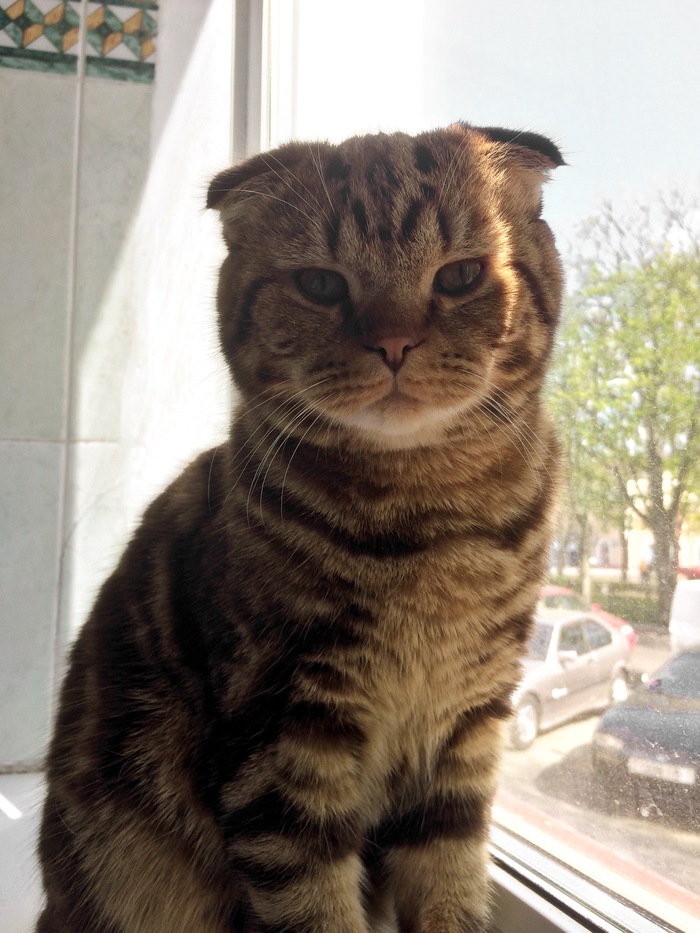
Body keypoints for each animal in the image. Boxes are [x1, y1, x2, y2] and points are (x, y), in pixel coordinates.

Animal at [37, 124, 564, 932]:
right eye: (320, 285)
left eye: (461, 276)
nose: (395, 342)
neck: (432, 517)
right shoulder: (281, 738)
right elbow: (312, 901)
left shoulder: (467, 727)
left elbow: (450, 878)